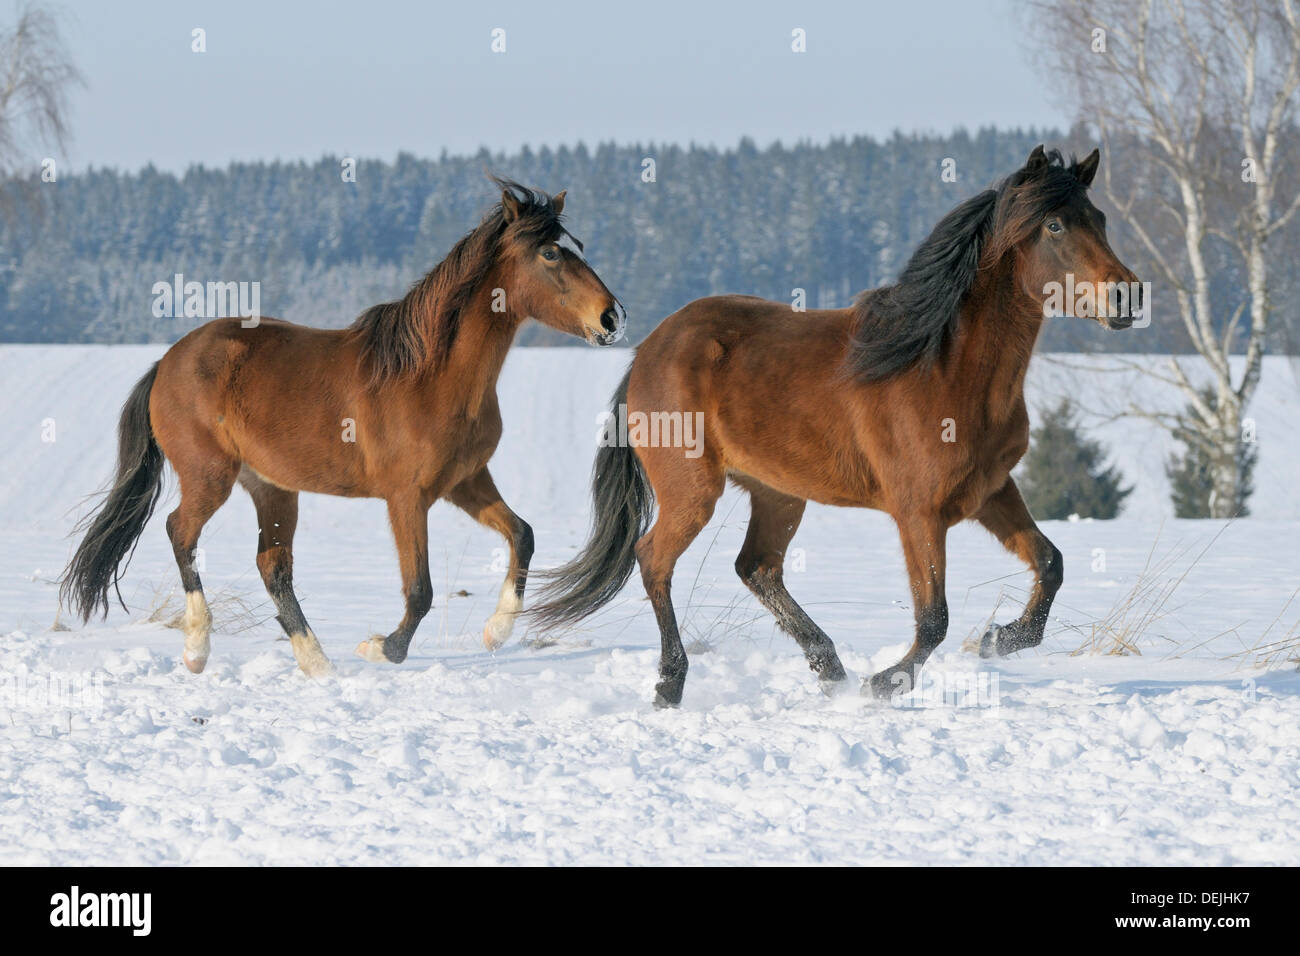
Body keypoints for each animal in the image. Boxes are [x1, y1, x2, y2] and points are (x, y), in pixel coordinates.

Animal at [61, 180, 626, 677]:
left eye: (575, 247)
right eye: (550, 254)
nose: (612, 318)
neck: (430, 375)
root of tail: (167, 361)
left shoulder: (465, 482)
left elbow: (523, 534)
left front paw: (496, 631)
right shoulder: (407, 496)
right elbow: (420, 590)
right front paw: (381, 648)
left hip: (272, 488)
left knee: (273, 565)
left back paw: (317, 663)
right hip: (209, 476)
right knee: (181, 532)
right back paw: (199, 650)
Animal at [528, 146, 1142, 707]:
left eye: (1100, 218)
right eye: (1056, 224)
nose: (1128, 296)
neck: (943, 366)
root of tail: (648, 351)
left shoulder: (990, 491)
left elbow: (1050, 563)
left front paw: (998, 638)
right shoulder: (919, 511)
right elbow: (934, 618)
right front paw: (886, 683)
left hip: (778, 492)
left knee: (757, 567)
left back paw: (829, 670)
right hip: (692, 490)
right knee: (655, 559)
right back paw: (671, 685)